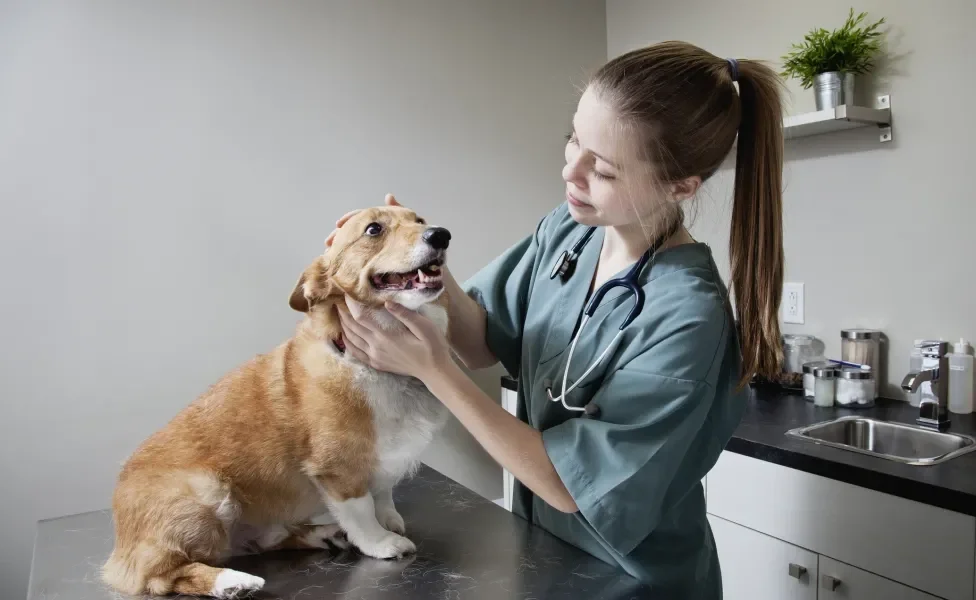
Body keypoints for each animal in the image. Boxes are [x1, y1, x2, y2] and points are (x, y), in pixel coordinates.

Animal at [101, 205, 452, 596]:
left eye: (419, 220)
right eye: (374, 229)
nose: (441, 235)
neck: (372, 365)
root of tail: (119, 550)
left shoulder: (383, 459)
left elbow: (383, 493)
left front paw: (388, 520)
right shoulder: (338, 469)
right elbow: (362, 512)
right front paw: (382, 542)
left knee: (263, 540)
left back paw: (323, 534)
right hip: (207, 492)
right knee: (164, 575)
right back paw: (233, 582)